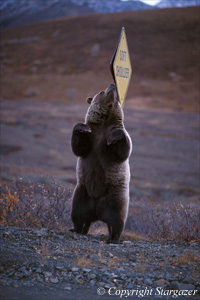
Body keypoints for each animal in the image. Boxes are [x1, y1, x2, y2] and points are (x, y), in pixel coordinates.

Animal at [70, 83, 131, 243]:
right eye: (102, 91)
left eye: (117, 96)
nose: (113, 84)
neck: (104, 123)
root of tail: (97, 213)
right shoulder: (93, 138)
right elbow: (79, 147)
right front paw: (82, 127)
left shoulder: (111, 137)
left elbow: (122, 151)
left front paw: (114, 138)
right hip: (82, 192)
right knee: (79, 214)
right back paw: (77, 229)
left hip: (115, 196)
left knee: (116, 219)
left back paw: (113, 238)